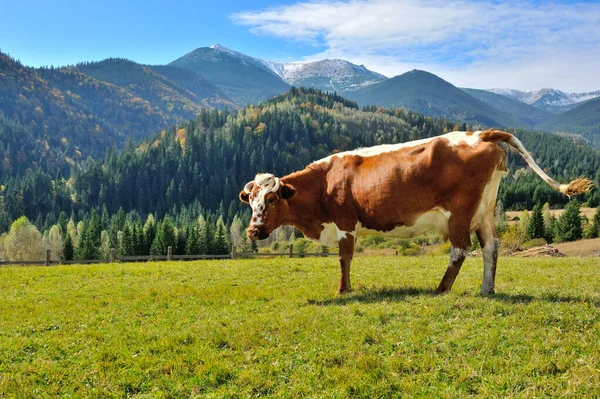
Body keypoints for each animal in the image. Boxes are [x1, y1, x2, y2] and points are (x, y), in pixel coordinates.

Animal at [238, 130, 592, 296]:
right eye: (250, 202)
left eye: (272, 199)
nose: (253, 231)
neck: (325, 181)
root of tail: (478, 134)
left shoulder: (345, 222)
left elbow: (344, 258)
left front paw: (343, 289)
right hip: (484, 212)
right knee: (491, 247)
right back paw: (486, 289)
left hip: (460, 212)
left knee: (460, 249)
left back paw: (441, 289)